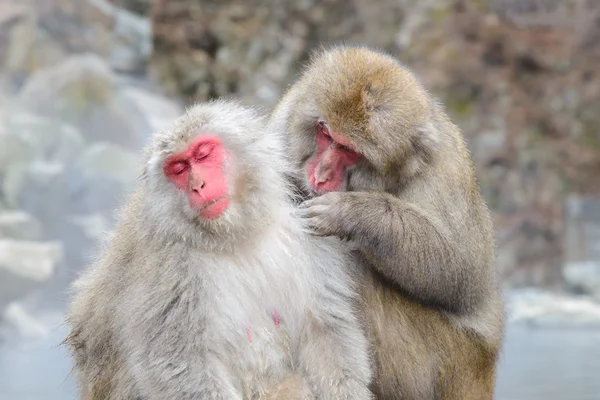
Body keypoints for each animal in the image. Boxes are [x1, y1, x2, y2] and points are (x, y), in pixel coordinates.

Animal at [68, 100, 372, 400]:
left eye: (203, 154)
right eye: (178, 169)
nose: (197, 186)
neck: (235, 235)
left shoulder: (306, 233)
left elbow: (324, 328)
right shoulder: (167, 270)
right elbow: (176, 361)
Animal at [270, 45, 504, 398]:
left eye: (349, 150)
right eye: (325, 132)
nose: (320, 174)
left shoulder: (445, 168)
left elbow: (460, 274)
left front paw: (351, 212)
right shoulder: (282, 126)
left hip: (451, 359)